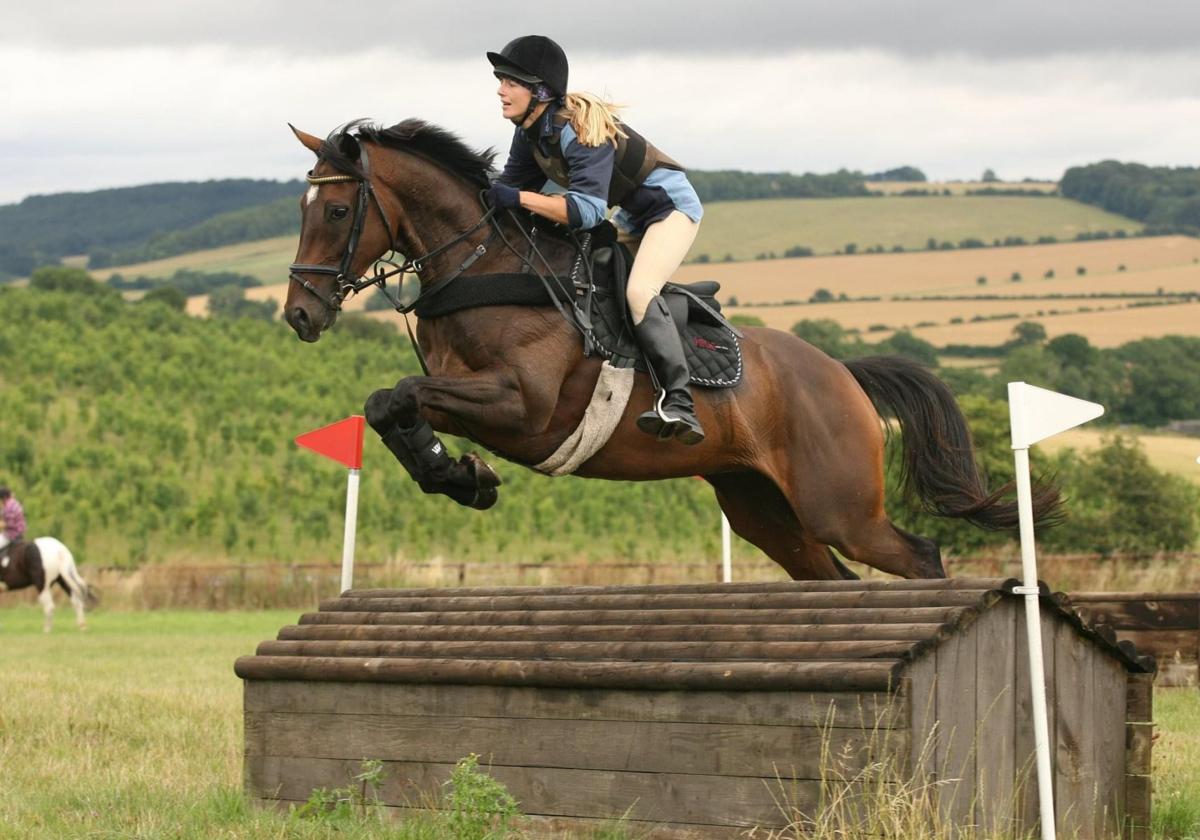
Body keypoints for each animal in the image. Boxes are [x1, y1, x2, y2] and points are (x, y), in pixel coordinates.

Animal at [283, 120, 1060, 583]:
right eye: (301, 209)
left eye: (340, 210)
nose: (299, 313)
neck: (483, 265)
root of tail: (842, 373)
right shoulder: (469, 398)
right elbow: (389, 404)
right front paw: (462, 477)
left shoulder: (522, 408)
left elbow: (402, 396)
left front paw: (465, 476)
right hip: (761, 506)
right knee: (832, 577)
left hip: (840, 507)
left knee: (918, 556)